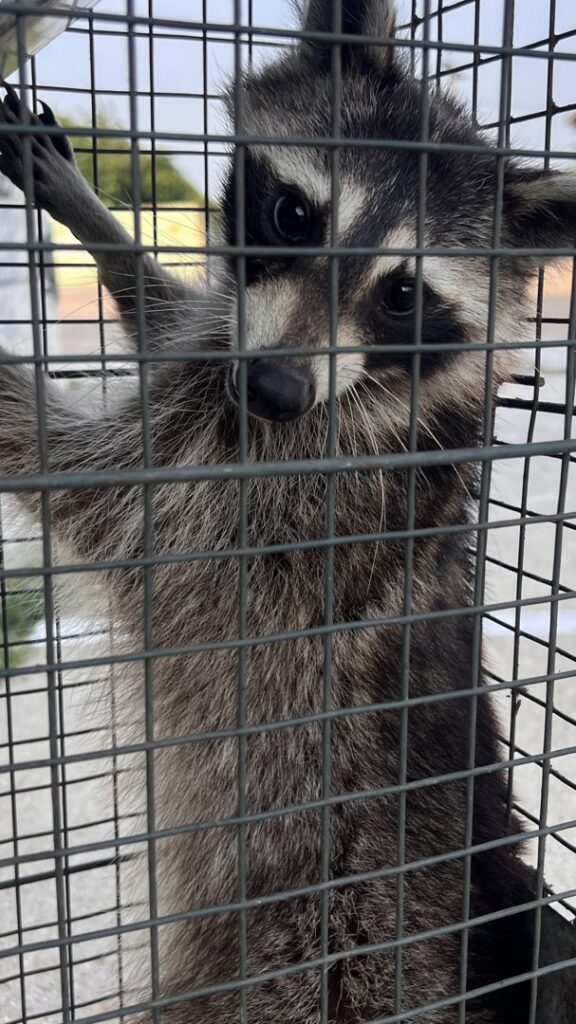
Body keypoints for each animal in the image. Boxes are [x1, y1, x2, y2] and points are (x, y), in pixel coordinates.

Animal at [0, 1, 575, 1022]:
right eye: (295, 213)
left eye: (403, 293)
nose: (272, 389)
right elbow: (177, 321)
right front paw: (104, 229)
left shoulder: (268, 492)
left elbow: (93, 487)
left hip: (306, 962)